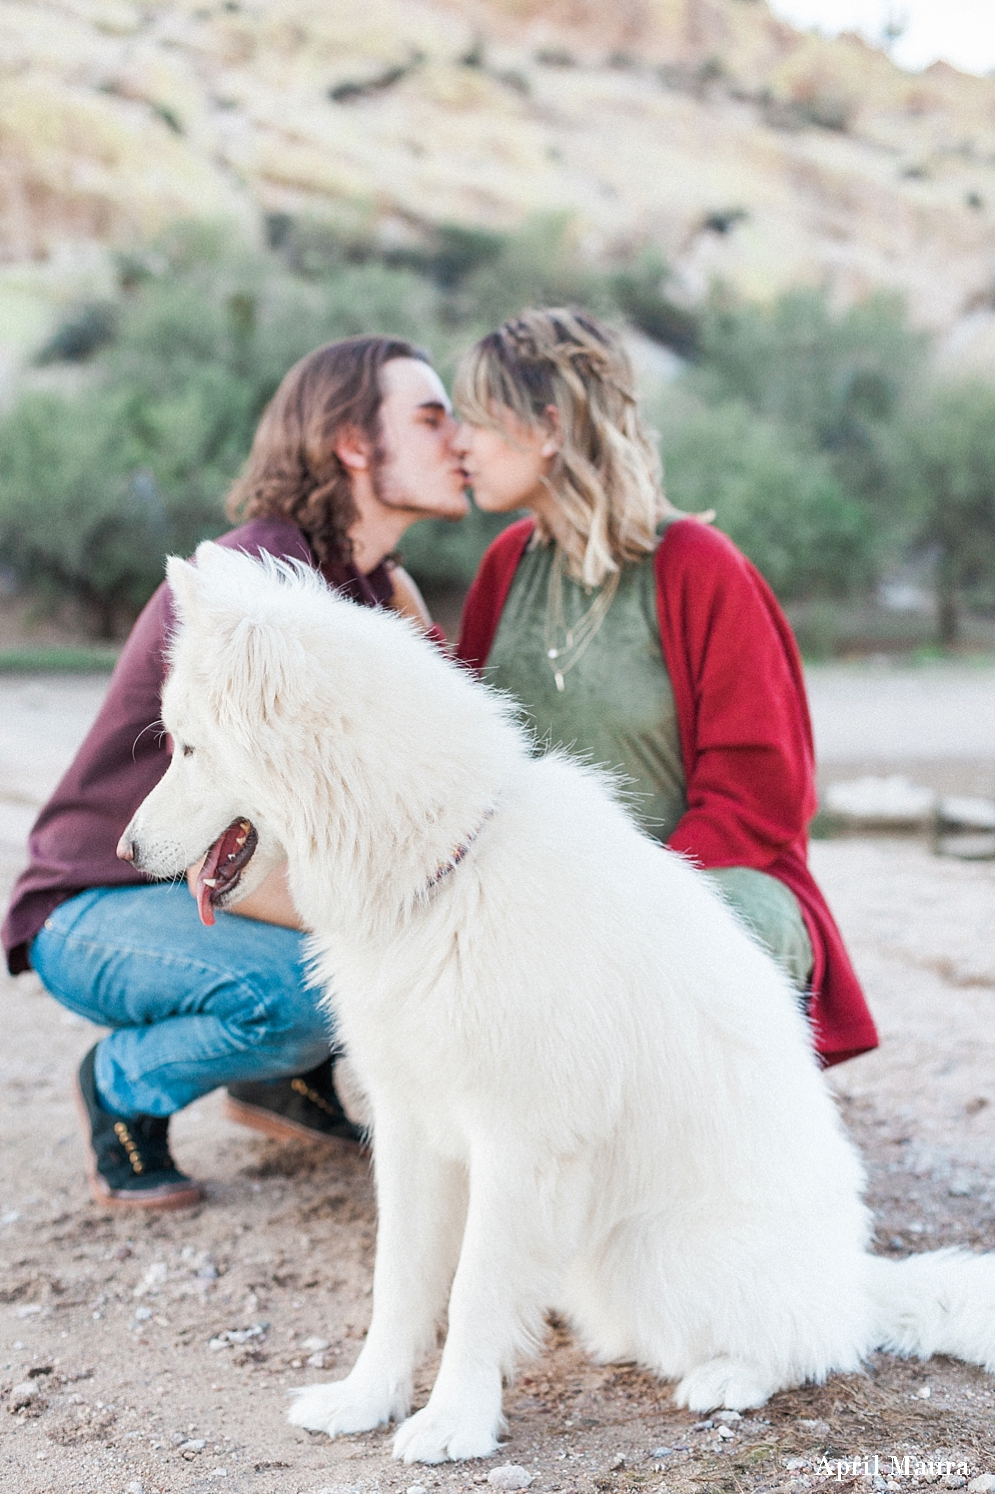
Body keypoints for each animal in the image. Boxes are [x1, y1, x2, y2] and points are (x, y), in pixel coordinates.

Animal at [121, 543, 992, 1464]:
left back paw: (728, 1377)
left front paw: (454, 1424)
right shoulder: (409, 1128)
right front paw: (367, 1399)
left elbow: (472, 1291)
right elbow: (399, 1283)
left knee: (815, 1343)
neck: (444, 869)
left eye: (188, 747)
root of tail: (858, 1278)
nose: (125, 848)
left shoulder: (520, 1143)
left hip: (659, 1253)